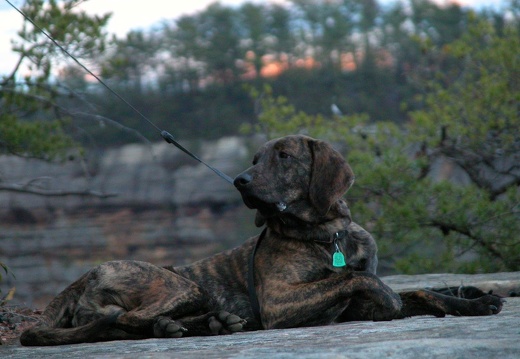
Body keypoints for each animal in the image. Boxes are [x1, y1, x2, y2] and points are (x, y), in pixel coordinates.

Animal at [20, 135, 504, 346]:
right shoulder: (278, 301)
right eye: (254, 159)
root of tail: (80, 280)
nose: (240, 180)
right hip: (180, 282)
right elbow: (358, 280)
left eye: (284, 156)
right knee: (127, 320)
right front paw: (390, 293)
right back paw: (205, 324)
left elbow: (422, 292)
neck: (327, 234)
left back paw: (212, 323)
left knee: (134, 323)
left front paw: (474, 301)